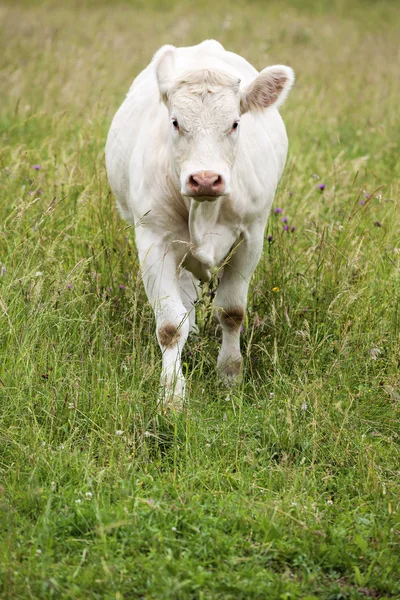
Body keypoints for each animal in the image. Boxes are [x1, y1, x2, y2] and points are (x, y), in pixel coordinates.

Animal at [105, 39, 294, 406]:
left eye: (235, 123)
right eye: (175, 122)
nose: (205, 179)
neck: (204, 209)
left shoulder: (251, 238)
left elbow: (232, 312)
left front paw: (230, 376)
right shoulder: (153, 240)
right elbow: (169, 326)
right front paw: (171, 395)